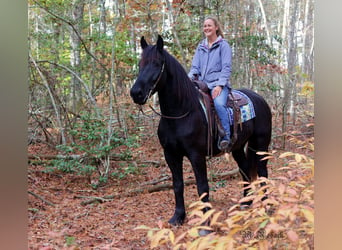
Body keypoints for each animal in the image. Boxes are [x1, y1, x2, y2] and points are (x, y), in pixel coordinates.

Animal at [130, 35, 272, 227]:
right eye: (140, 63)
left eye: (157, 64)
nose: (136, 93)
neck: (181, 113)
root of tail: (260, 99)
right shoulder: (171, 155)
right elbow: (178, 185)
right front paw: (178, 217)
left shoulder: (196, 155)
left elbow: (202, 187)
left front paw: (205, 222)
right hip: (237, 147)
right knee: (244, 170)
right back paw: (246, 202)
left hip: (261, 144)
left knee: (263, 172)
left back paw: (266, 205)